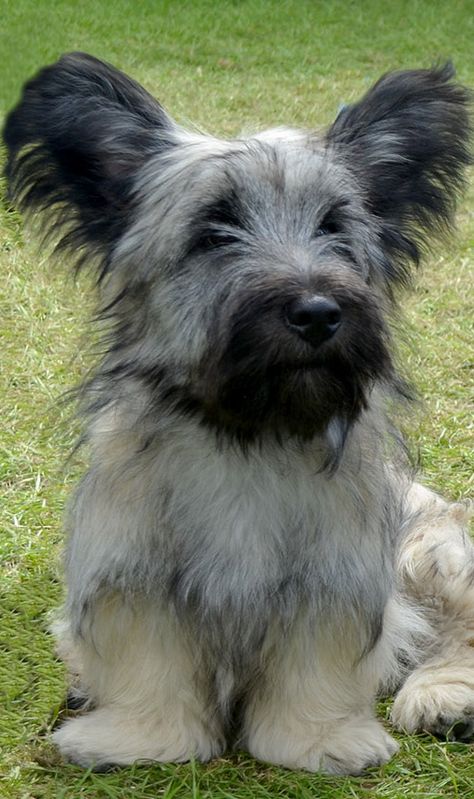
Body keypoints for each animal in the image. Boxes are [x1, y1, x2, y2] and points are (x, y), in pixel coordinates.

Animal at [4, 51, 474, 776]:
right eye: (213, 232)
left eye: (334, 227)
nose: (317, 312)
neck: (249, 435)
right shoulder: (133, 571)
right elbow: (149, 660)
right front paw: (142, 737)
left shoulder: (334, 578)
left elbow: (318, 663)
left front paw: (317, 738)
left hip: (431, 553)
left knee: (455, 630)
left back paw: (445, 695)